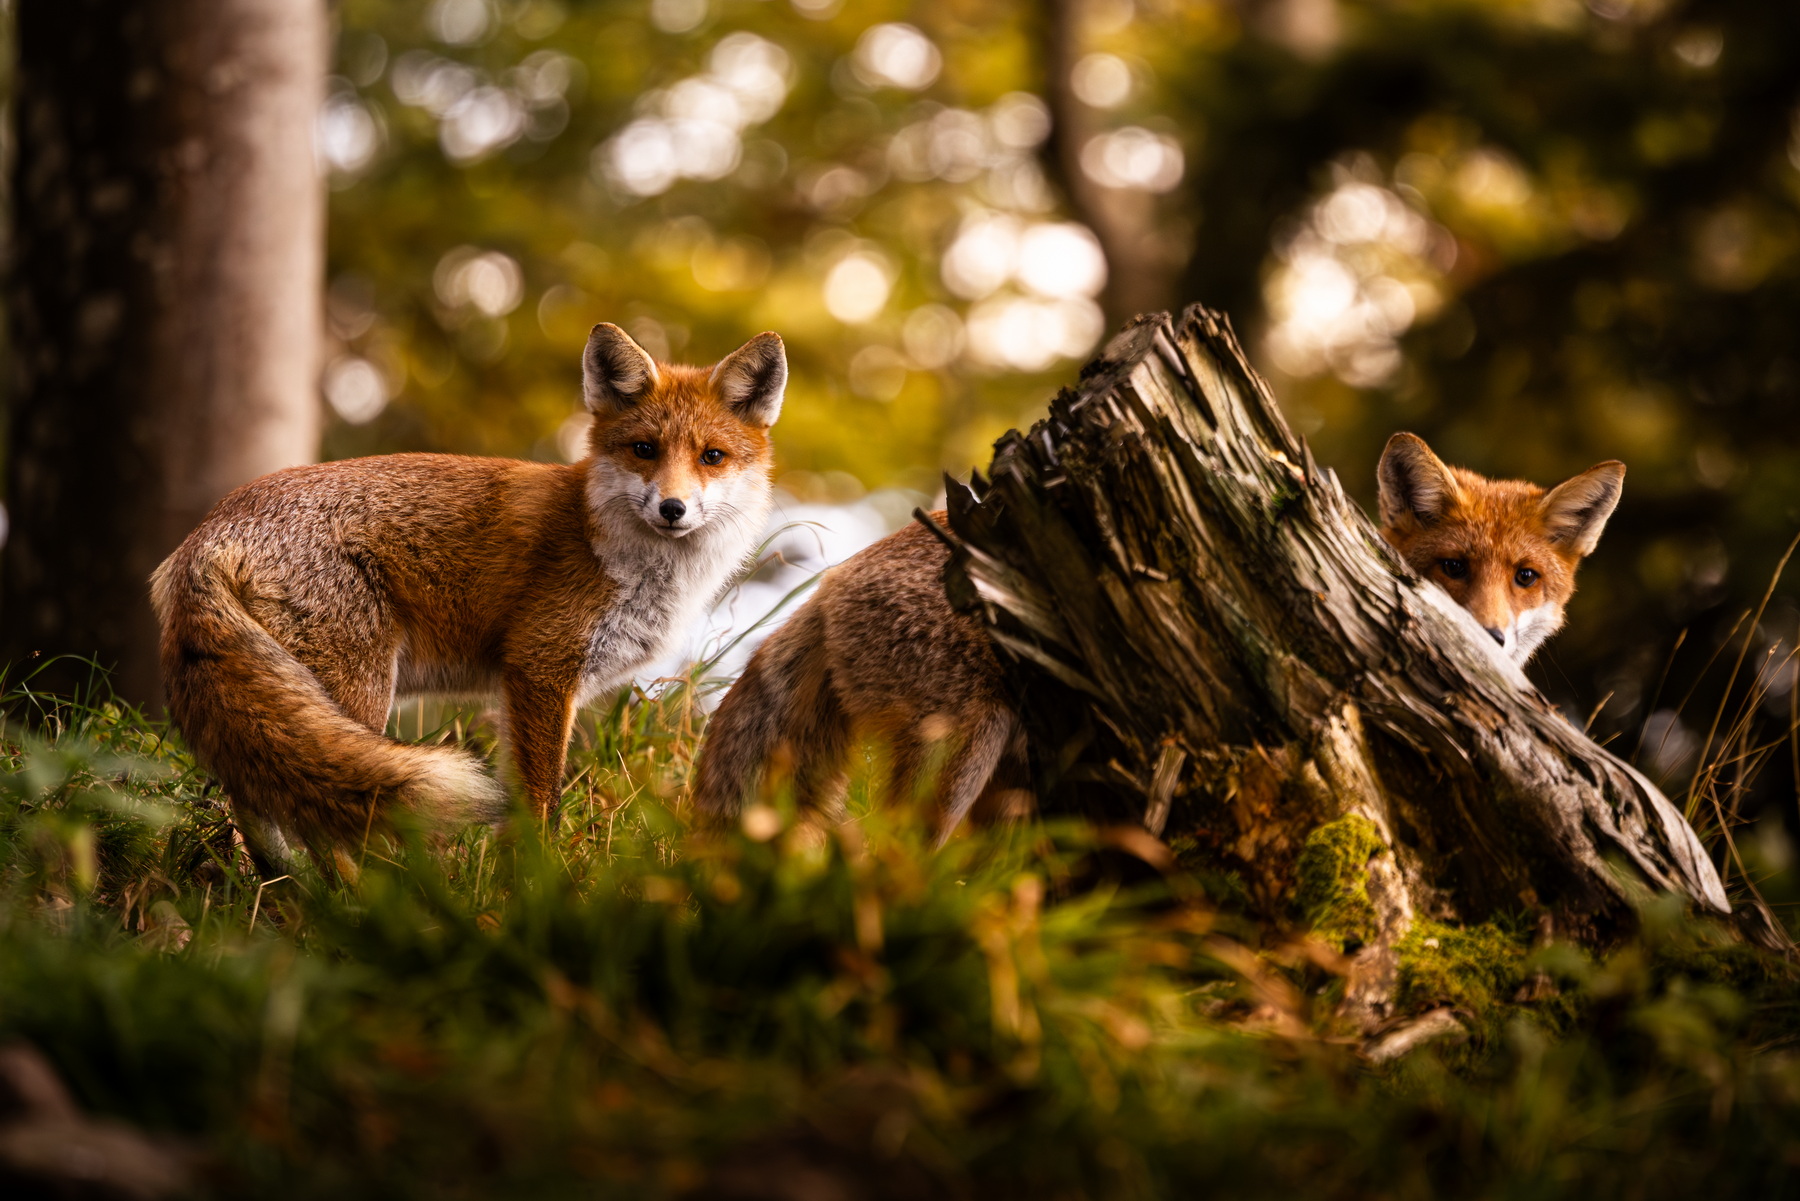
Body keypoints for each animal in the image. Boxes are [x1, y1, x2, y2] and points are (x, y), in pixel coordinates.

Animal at [151, 323, 784, 874]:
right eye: (644, 449)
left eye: (711, 456)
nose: (673, 509)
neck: (612, 548)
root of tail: (209, 532)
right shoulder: (540, 668)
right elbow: (540, 805)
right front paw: (534, 889)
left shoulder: (523, 688)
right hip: (353, 693)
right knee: (318, 813)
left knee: (257, 799)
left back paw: (285, 889)